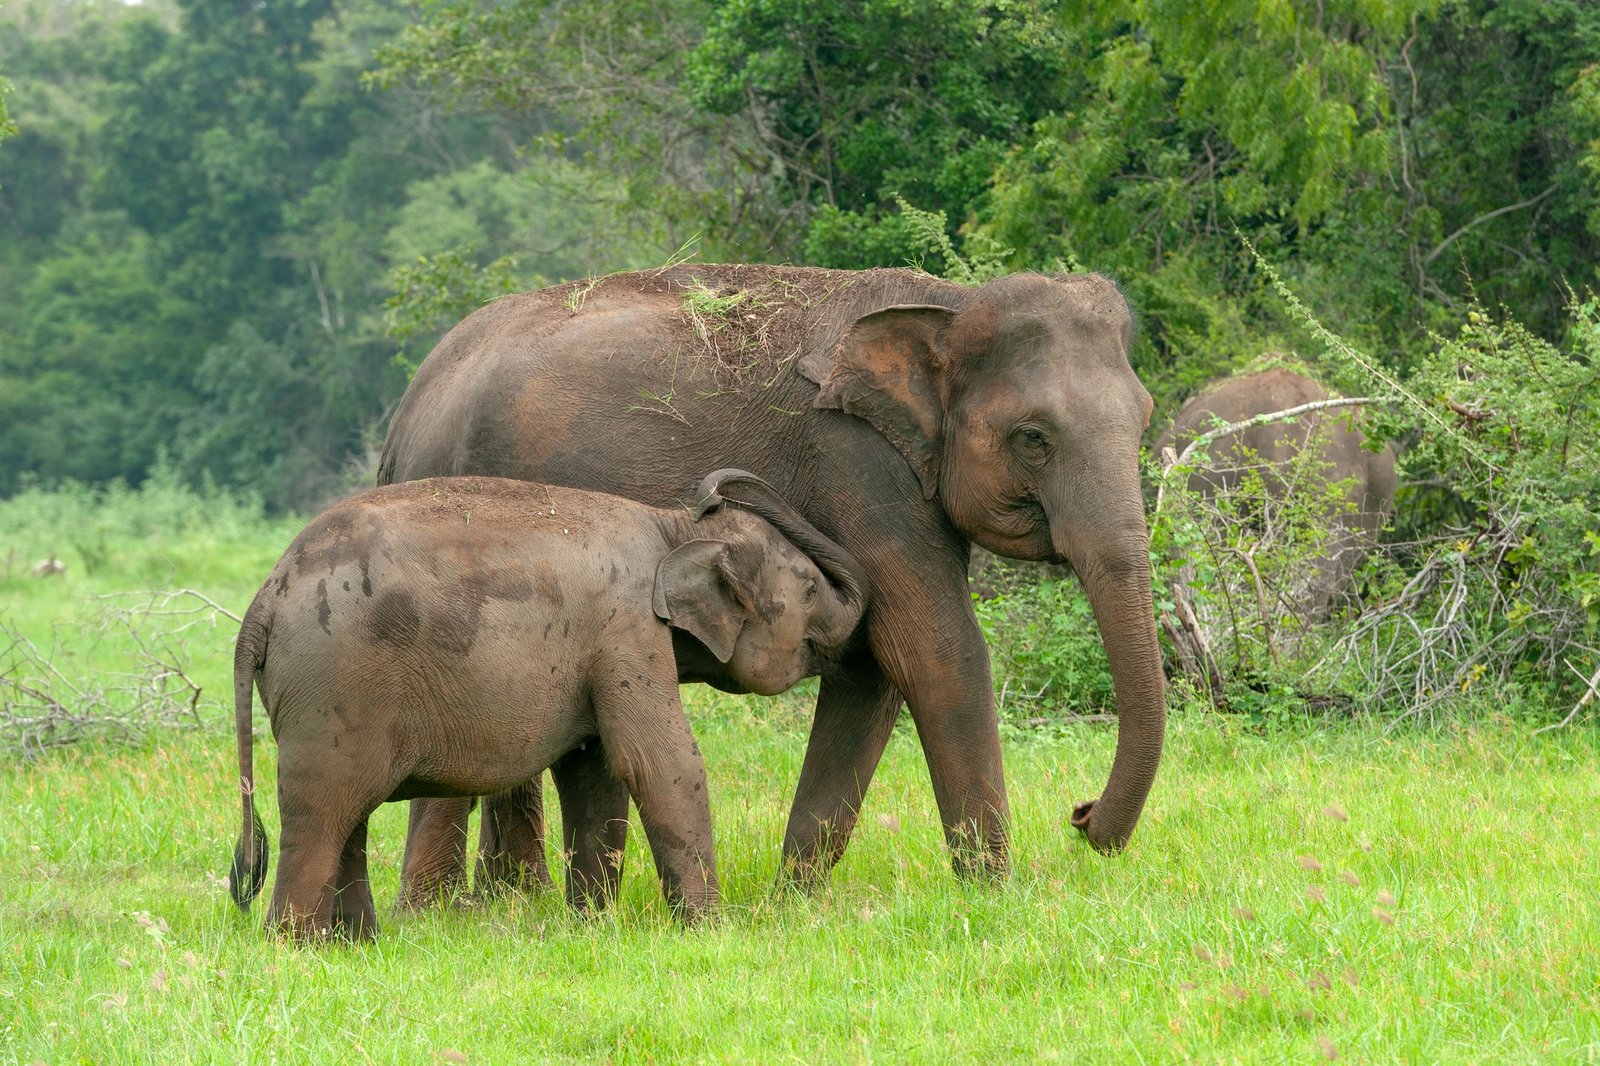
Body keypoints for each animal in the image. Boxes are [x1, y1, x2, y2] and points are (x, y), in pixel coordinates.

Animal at [228, 469, 868, 940]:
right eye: (811, 588)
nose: (711, 489)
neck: (670, 527)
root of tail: (265, 595)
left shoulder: (601, 646)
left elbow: (594, 771)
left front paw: (592, 926)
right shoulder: (627, 627)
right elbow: (656, 760)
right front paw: (711, 930)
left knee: (348, 817)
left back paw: (355, 945)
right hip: (333, 685)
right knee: (322, 812)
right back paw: (294, 949)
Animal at [378, 263, 1166, 902]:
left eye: (1146, 420)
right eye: (1033, 439)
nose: (1081, 816)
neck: (948, 303)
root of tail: (406, 408)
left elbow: (872, 665)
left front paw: (795, 899)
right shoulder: (857, 460)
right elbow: (933, 649)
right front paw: (995, 894)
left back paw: (516, 901)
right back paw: (462, 910)